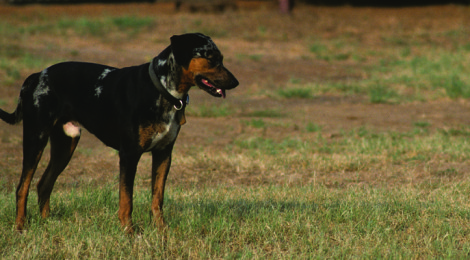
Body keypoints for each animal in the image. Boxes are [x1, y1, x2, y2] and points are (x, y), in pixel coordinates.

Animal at [0, 33, 239, 234]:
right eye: (211, 58)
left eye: (221, 58)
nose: (236, 82)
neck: (161, 90)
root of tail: (35, 76)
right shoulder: (129, 154)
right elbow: (127, 199)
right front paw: (129, 232)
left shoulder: (164, 154)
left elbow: (157, 198)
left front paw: (161, 230)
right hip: (36, 138)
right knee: (22, 187)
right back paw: (20, 227)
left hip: (65, 144)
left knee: (44, 184)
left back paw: (47, 224)